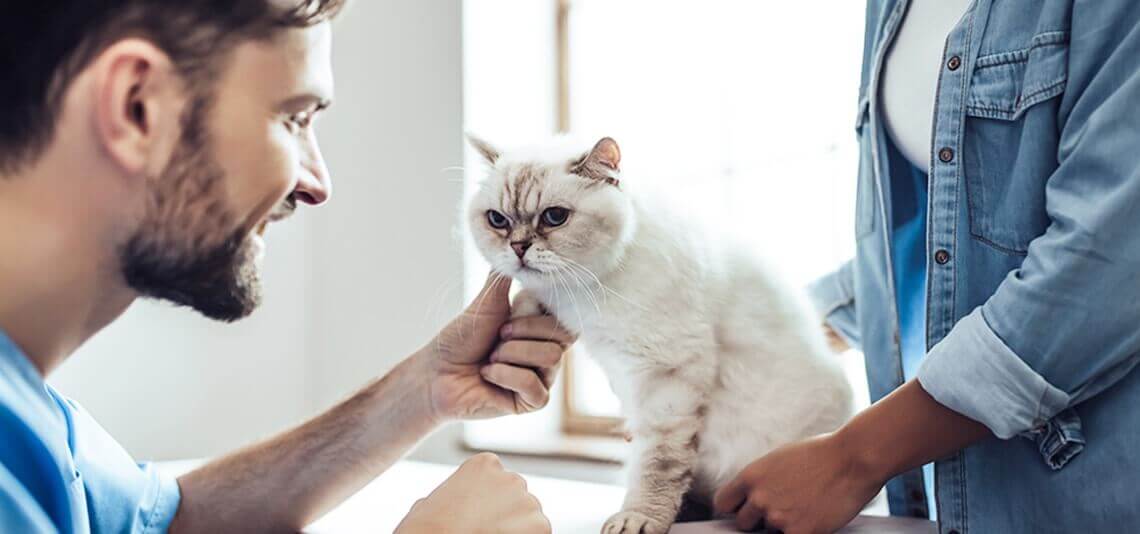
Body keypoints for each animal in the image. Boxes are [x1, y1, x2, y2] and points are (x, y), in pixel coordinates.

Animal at [465, 135, 857, 531]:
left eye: (554, 217)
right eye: (498, 220)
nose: (517, 248)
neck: (586, 291)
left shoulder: (665, 376)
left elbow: (659, 463)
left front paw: (638, 518)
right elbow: (527, 302)